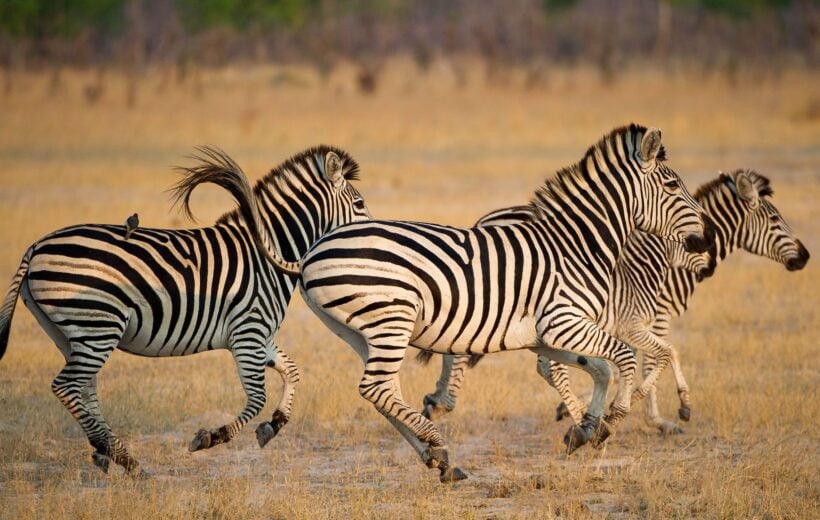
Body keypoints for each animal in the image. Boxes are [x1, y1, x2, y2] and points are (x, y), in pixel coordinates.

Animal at [0, 145, 368, 476]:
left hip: (70, 333)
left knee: (83, 388)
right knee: (67, 386)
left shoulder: (257, 334)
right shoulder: (248, 332)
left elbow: (292, 371)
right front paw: (210, 437)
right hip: (98, 326)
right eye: (360, 204)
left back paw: (113, 453)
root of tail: (37, 246)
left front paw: (272, 426)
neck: (268, 253)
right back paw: (119, 455)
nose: (370, 235)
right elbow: (257, 397)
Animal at [292, 124, 716, 482]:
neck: (577, 246)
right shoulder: (564, 323)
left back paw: (433, 455)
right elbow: (623, 359)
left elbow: (599, 368)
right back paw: (438, 446)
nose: (708, 240)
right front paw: (609, 422)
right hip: (391, 319)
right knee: (376, 388)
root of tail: (314, 250)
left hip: (359, 332)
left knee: (385, 392)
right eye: (673, 184)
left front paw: (584, 428)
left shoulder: (546, 335)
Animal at [422, 169, 808, 436]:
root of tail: (485, 219)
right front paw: (659, 413)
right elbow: (659, 358)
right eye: (775, 219)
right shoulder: (653, 317)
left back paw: (439, 398)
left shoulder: (630, 322)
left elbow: (641, 360)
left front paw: (620, 409)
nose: (804, 257)